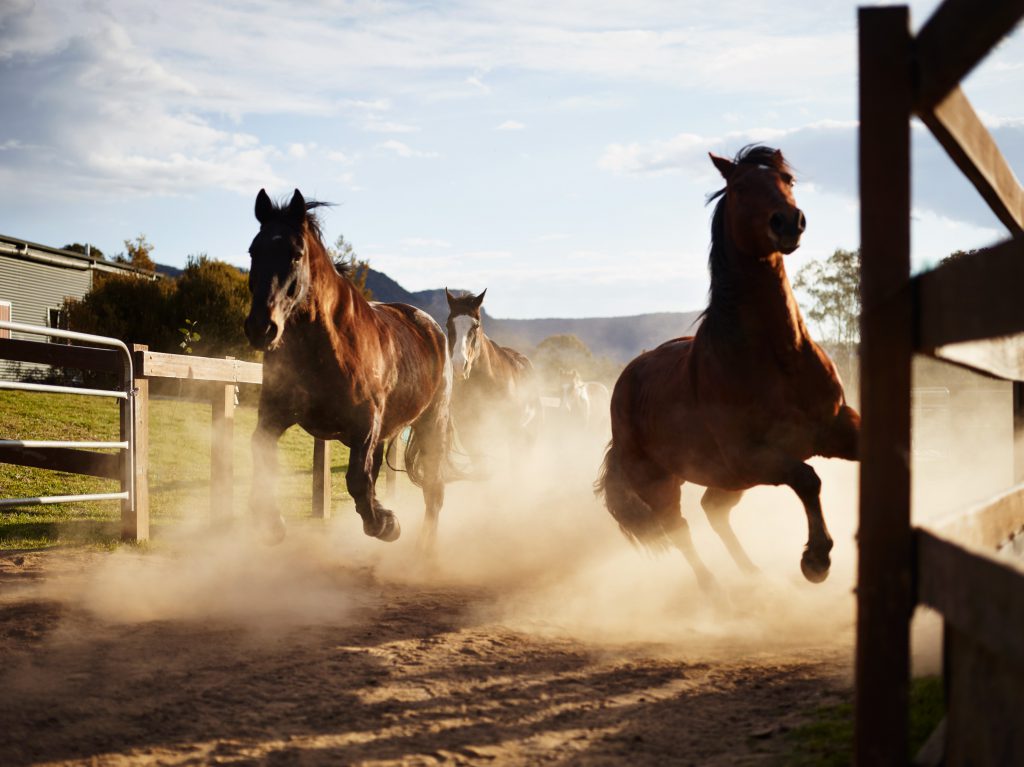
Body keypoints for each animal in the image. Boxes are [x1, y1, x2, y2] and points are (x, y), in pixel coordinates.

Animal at [243, 190, 456, 548]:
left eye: (296, 254)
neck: (327, 349)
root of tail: (431, 327)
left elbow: (357, 479)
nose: (262, 327)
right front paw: (272, 525)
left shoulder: (364, 424)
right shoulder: (274, 416)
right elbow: (260, 458)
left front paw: (386, 525)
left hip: (432, 423)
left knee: (433, 491)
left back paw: (424, 549)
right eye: (253, 251)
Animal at [598, 146, 860, 589]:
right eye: (739, 187)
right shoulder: (753, 456)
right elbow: (808, 479)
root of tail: (626, 383)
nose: (788, 221)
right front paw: (816, 559)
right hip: (663, 482)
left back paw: (753, 575)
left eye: (787, 180)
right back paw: (718, 591)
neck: (779, 358)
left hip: (727, 480)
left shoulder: (835, 426)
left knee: (713, 509)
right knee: (680, 529)